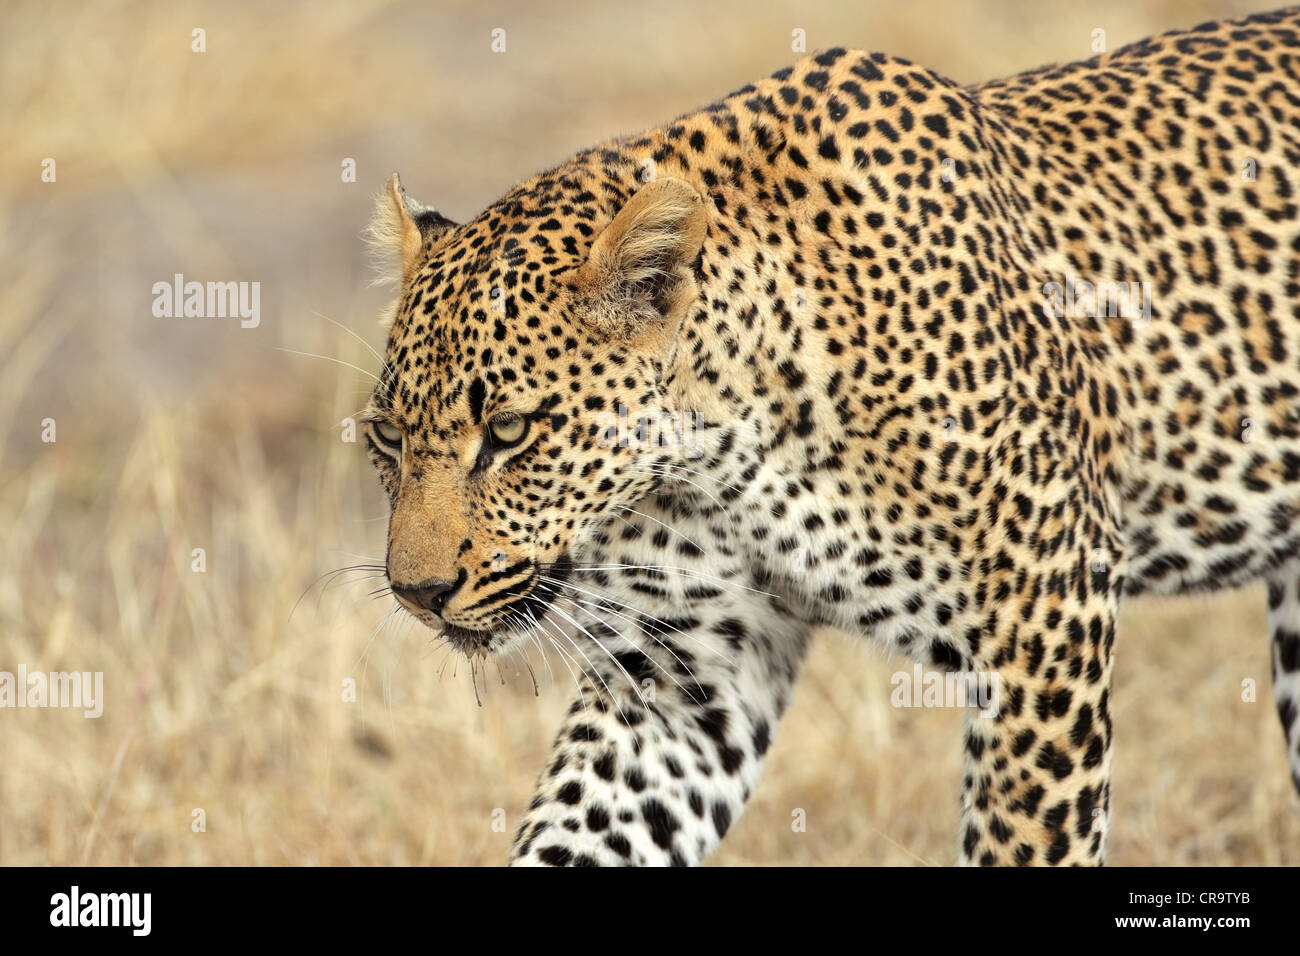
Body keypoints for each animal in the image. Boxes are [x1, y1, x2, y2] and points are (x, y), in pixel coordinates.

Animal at [358, 7, 1300, 866]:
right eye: (386, 439)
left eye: (510, 431)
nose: (418, 593)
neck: (722, 458)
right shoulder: (683, 683)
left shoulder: (1044, 617)